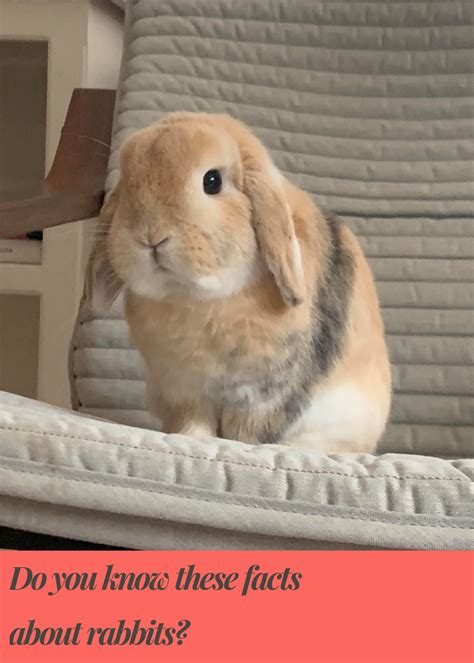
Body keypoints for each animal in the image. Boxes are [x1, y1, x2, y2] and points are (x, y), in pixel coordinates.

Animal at [86, 112, 391, 453]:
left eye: (212, 181)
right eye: (128, 182)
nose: (150, 237)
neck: (194, 300)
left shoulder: (261, 392)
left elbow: (246, 430)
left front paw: (242, 447)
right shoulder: (183, 388)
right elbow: (194, 421)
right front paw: (191, 437)